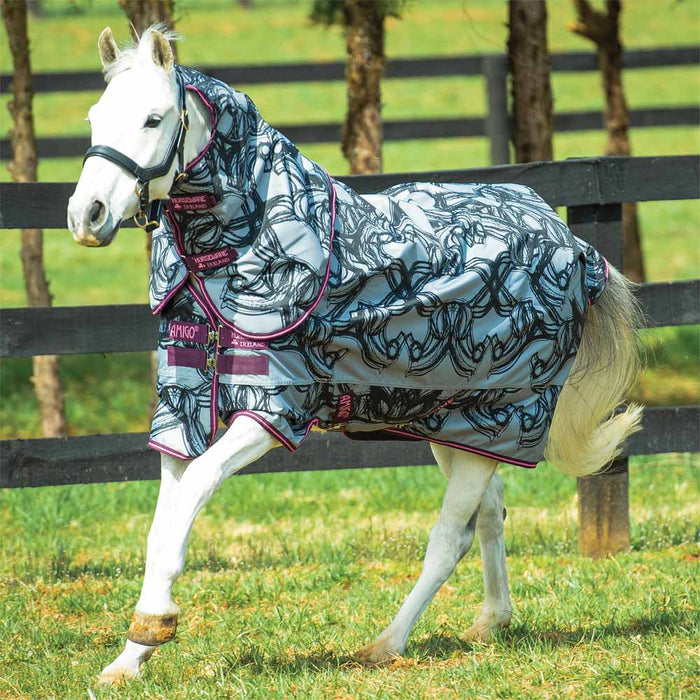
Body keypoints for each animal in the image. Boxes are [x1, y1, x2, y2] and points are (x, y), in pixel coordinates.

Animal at [67, 26, 642, 684]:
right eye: (95, 118)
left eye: (153, 118)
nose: (87, 216)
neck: (234, 259)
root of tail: (572, 244)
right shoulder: (181, 412)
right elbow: (162, 525)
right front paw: (130, 656)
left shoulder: (270, 411)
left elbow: (189, 503)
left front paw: (155, 625)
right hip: (456, 426)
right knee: (489, 515)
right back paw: (490, 623)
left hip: (500, 419)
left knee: (450, 537)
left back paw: (386, 644)